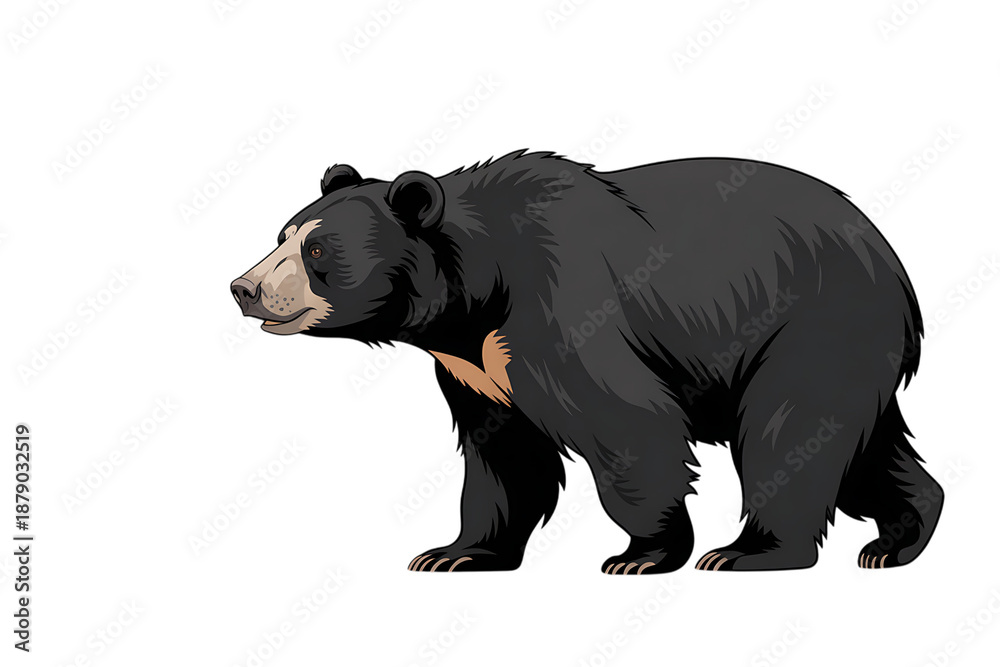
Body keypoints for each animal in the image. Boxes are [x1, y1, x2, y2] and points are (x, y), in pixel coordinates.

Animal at [231, 150, 942, 573]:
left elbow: (627, 422)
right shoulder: (474, 366)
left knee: (788, 431)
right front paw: (456, 553)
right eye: (282, 235)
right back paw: (898, 537)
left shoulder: (561, 307)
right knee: (860, 444)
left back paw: (750, 552)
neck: (474, 296)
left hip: (812, 323)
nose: (244, 287)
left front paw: (643, 552)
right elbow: (503, 454)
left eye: (318, 250)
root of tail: (895, 263)